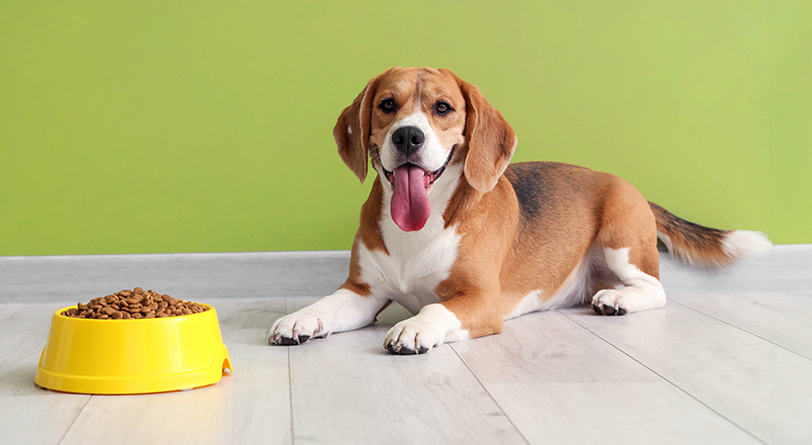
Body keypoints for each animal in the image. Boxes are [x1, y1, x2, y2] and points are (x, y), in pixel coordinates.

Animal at [270, 67, 772, 354]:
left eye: (442, 108)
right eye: (386, 105)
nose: (408, 136)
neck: (422, 224)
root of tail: (623, 182)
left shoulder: (480, 301)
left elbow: (433, 309)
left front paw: (414, 328)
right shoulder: (364, 293)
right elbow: (327, 304)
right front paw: (299, 319)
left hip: (622, 242)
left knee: (655, 289)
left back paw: (619, 300)